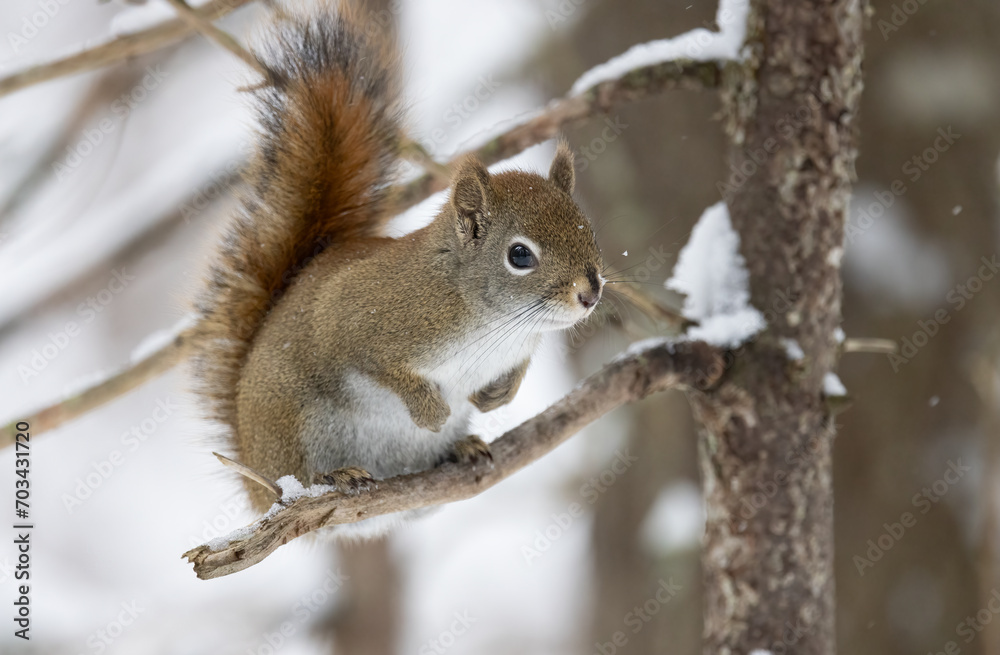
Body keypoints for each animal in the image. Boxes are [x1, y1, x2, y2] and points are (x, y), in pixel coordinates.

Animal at [192, 4, 605, 536]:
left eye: (587, 229)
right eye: (519, 255)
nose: (590, 293)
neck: (495, 319)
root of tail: (253, 481)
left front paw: (499, 396)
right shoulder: (360, 318)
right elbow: (379, 365)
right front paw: (429, 409)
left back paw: (459, 448)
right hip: (294, 431)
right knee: (297, 483)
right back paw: (336, 477)